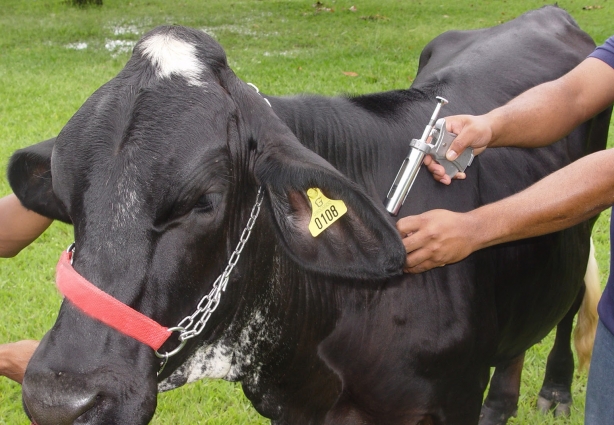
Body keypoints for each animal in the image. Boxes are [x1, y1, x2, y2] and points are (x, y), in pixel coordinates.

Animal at [8, 5, 612, 424]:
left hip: (578, 217)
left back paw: (554, 390)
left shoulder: (453, 397)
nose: (61, 398)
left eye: (204, 201)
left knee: (566, 303)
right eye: (65, 197)